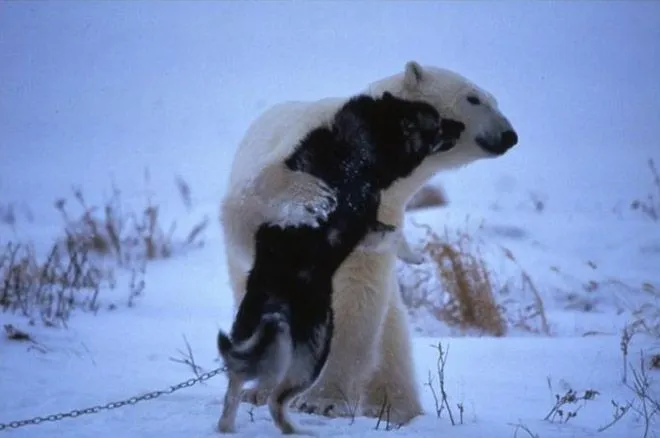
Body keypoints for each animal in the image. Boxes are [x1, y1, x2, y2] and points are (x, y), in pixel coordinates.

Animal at [219, 60, 520, 424]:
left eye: (494, 100)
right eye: (474, 98)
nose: (510, 135)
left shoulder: (384, 212)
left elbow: (357, 298)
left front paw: (324, 401)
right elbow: (251, 202)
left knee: (392, 338)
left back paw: (396, 408)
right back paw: (259, 389)